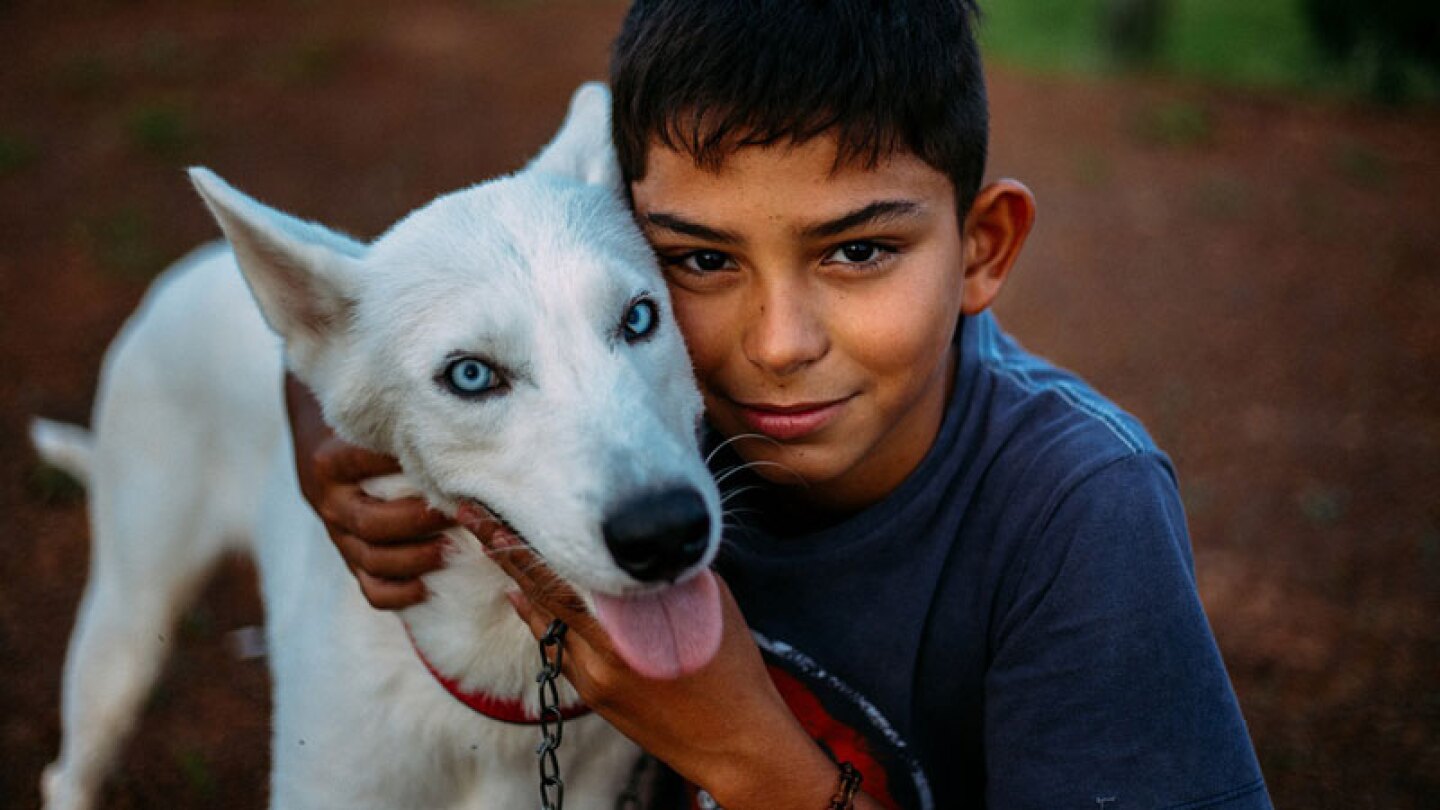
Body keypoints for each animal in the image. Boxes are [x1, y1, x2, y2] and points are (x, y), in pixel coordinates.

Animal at [30, 83, 731, 807]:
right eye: (470, 375)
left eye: (640, 317)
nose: (664, 531)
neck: (496, 698)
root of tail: (194, 266)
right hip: (125, 626)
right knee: (72, 766)